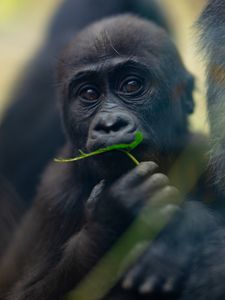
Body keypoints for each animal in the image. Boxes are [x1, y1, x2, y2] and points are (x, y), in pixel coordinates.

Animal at [0, 14, 216, 300]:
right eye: (89, 94)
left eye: (132, 85)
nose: (110, 124)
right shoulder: (55, 195)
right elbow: (24, 293)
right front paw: (112, 216)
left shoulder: (202, 155)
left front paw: (180, 232)